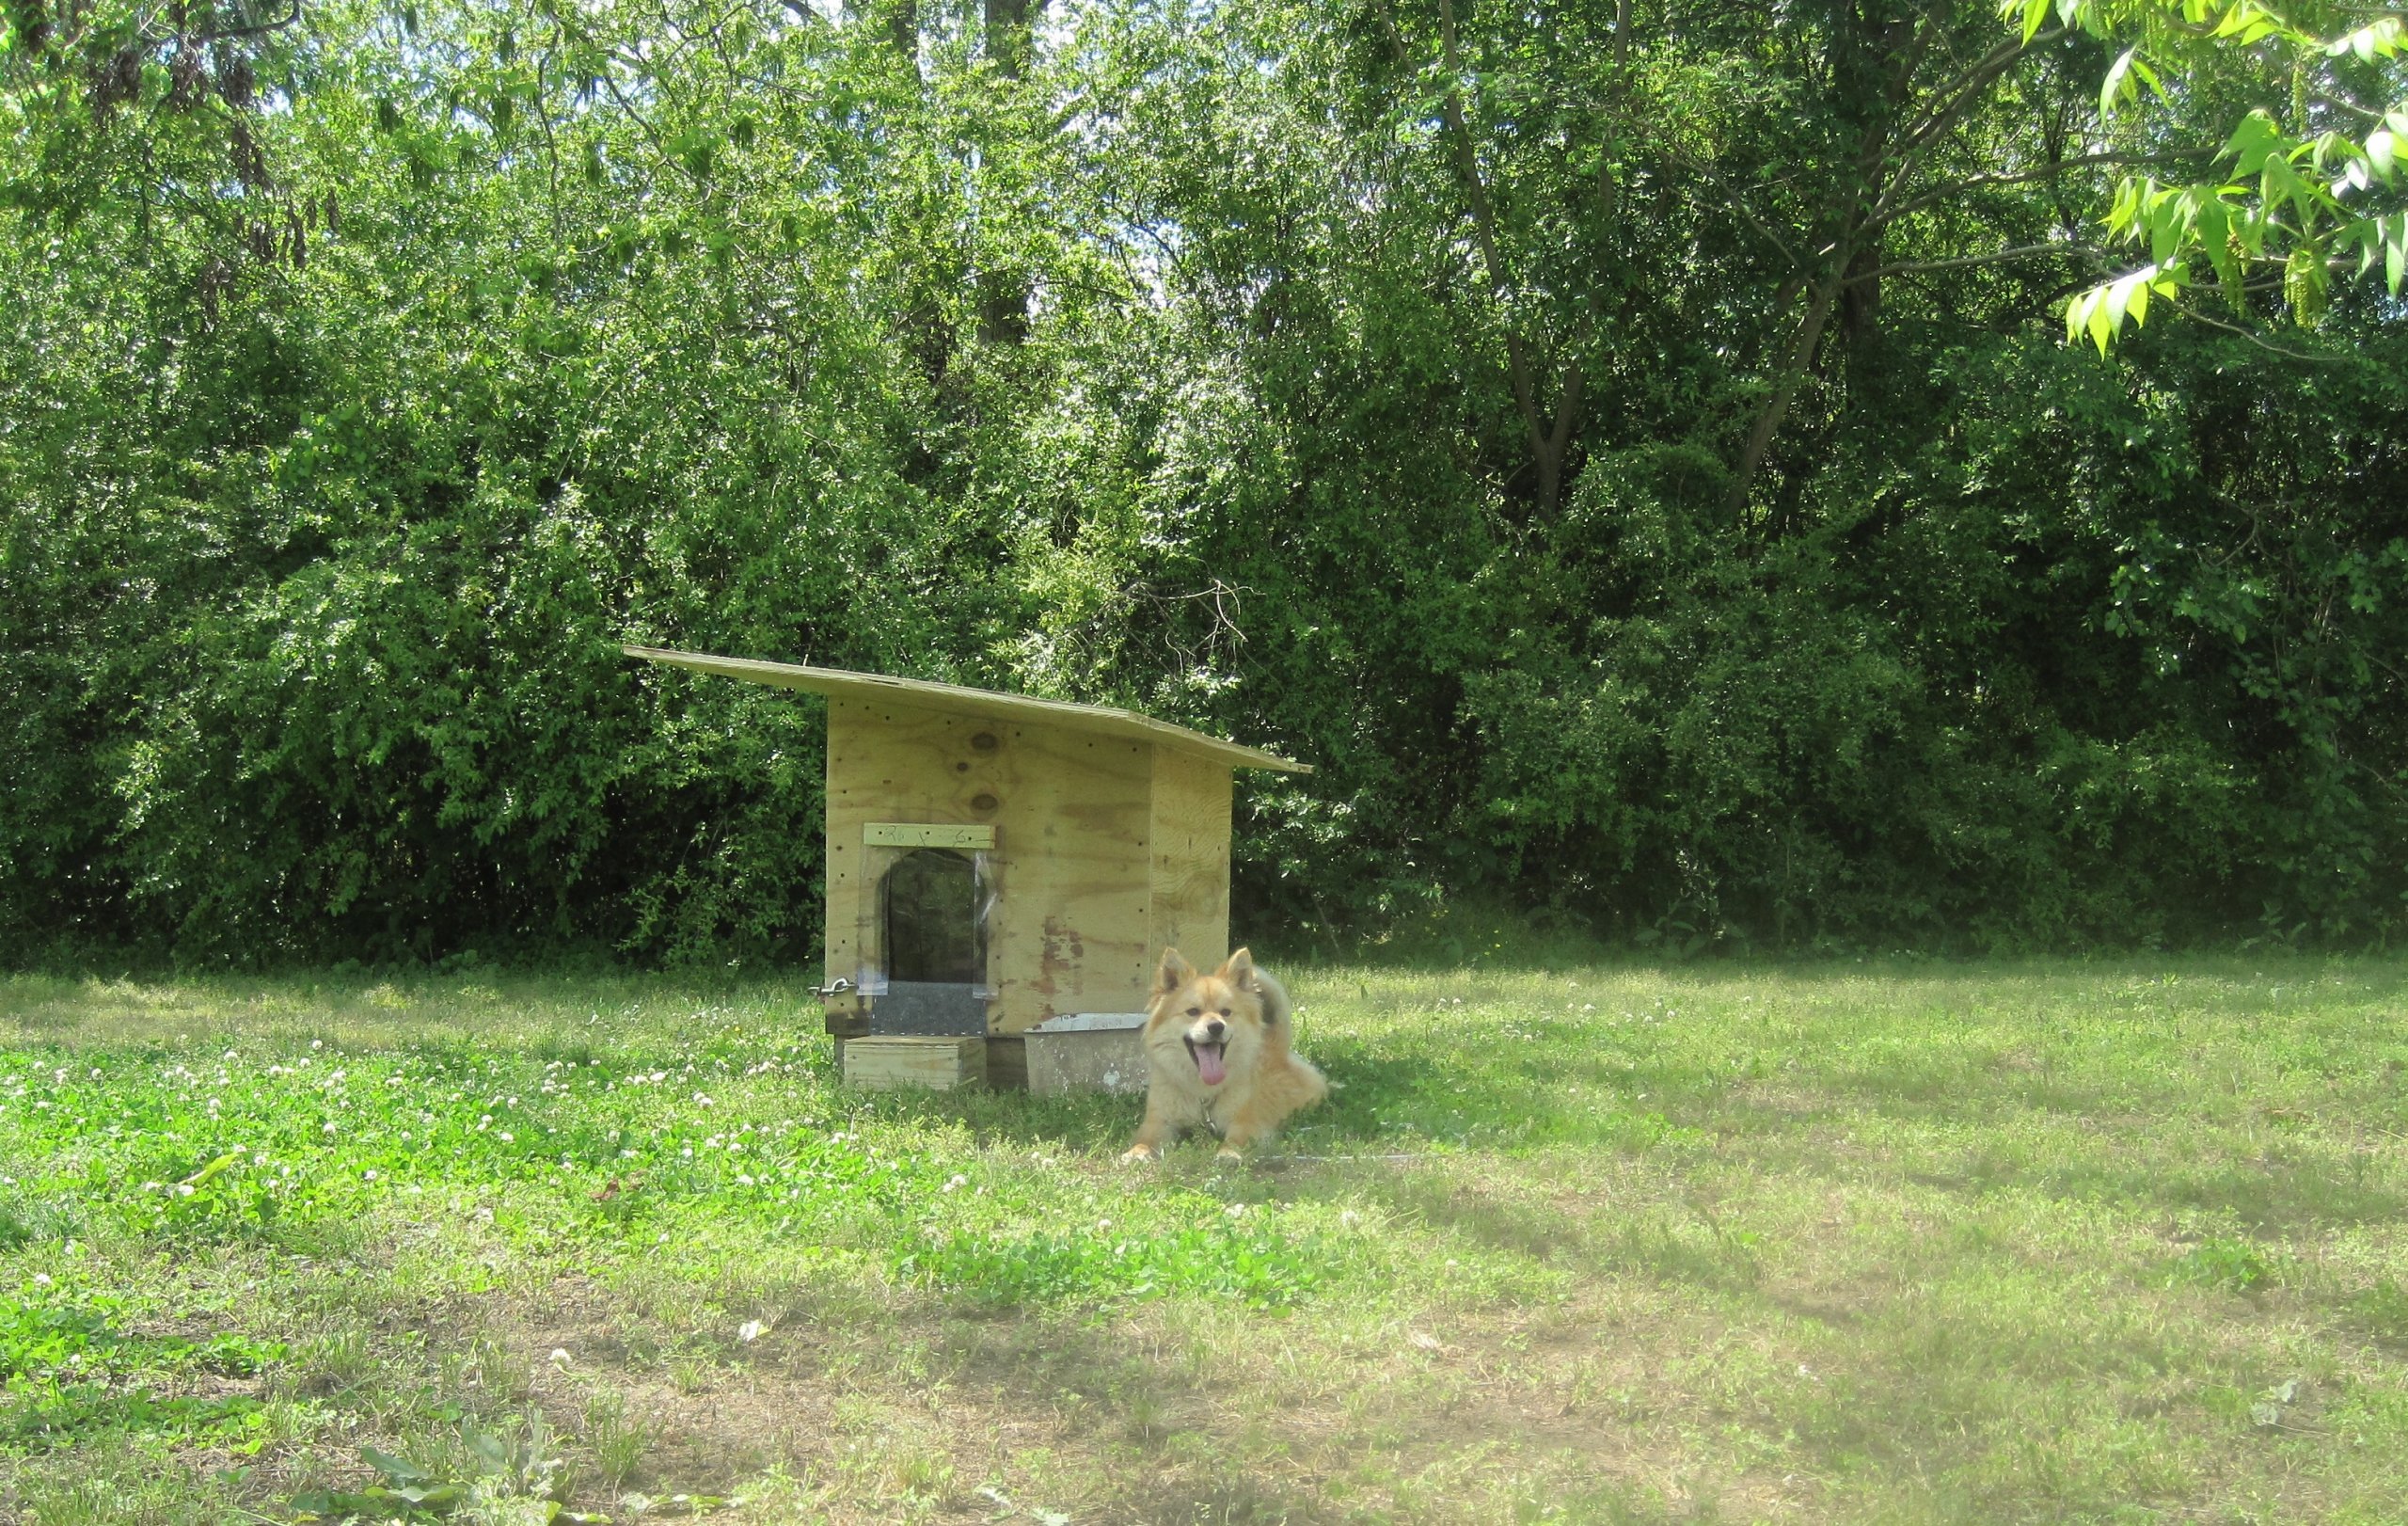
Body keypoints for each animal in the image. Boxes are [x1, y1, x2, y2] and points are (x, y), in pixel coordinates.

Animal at [1120, 947, 1327, 1163]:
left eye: (1226, 1012)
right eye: (1193, 1011)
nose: (1216, 1027)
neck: (1202, 1092)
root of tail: (1274, 1045)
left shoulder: (1245, 1123)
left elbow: (1235, 1139)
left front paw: (1228, 1153)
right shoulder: (1159, 1122)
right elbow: (1146, 1139)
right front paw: (1137, 1151)